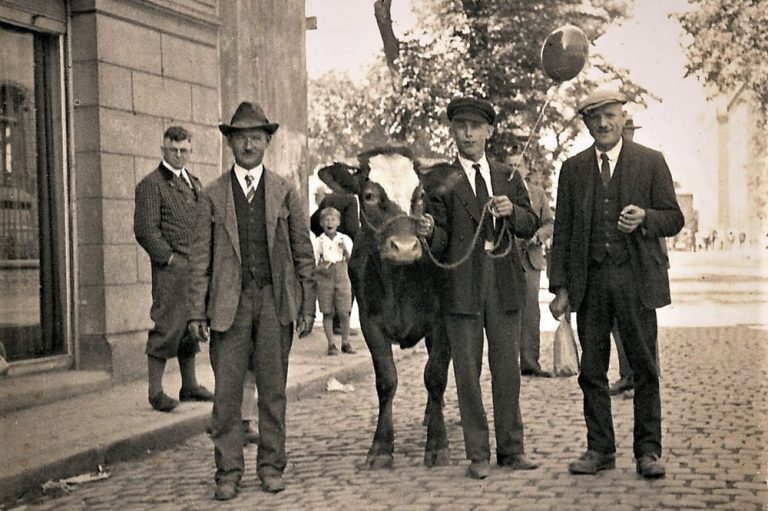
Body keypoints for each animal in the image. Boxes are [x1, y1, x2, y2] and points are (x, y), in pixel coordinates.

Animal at [316, 146, 452, 470]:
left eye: (419, 195)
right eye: (368, 195)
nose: (404, 247)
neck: (398, 280)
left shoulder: (443, 321)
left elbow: (435, 376)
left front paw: (438, 444)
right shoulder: (370, 322)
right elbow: (386, 381)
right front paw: (380, 447)